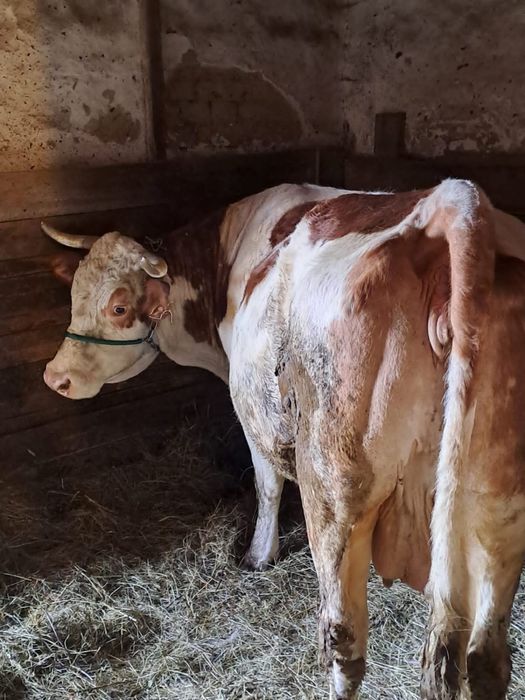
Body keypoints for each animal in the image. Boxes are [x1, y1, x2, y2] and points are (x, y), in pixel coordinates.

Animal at [42, 180, 525, 700]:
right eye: (73, 295)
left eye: (117, 307)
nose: (55, 376)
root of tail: (453, 203)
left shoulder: (252, 413)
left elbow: (267, 483)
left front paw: (259, 555)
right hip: (497, 513)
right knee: (485, 660)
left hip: (333, 493)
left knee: (344, 640)